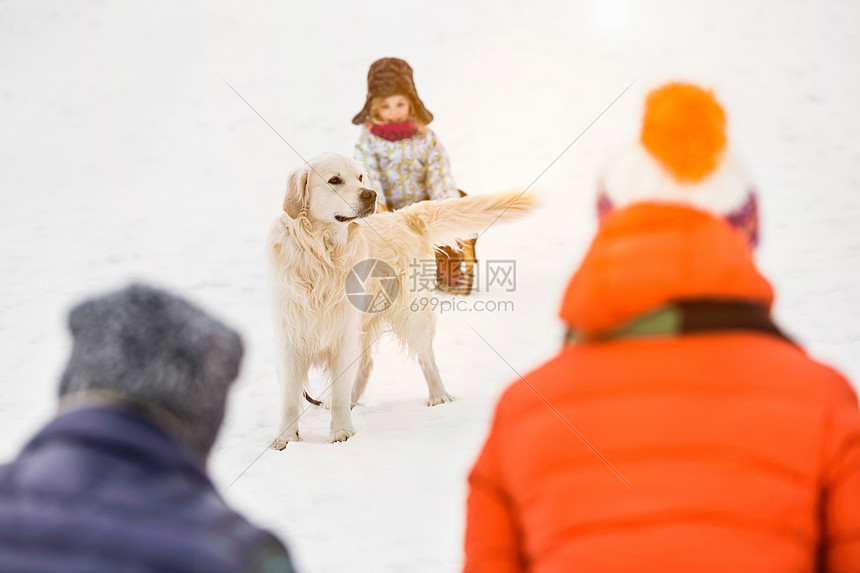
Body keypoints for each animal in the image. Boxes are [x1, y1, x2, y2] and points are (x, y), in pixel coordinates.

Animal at [268, 153, 532, 446]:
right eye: (334, 180)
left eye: (360, 177)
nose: (370, 194)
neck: (322, 255)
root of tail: (402, 216)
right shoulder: (290, 336)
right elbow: (290, 395)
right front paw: (285, 438)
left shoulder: (343, 331)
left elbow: (338, 390)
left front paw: (341, 431)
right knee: (366, 364)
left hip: (411, 315)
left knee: (426, 359)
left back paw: (439, 396)